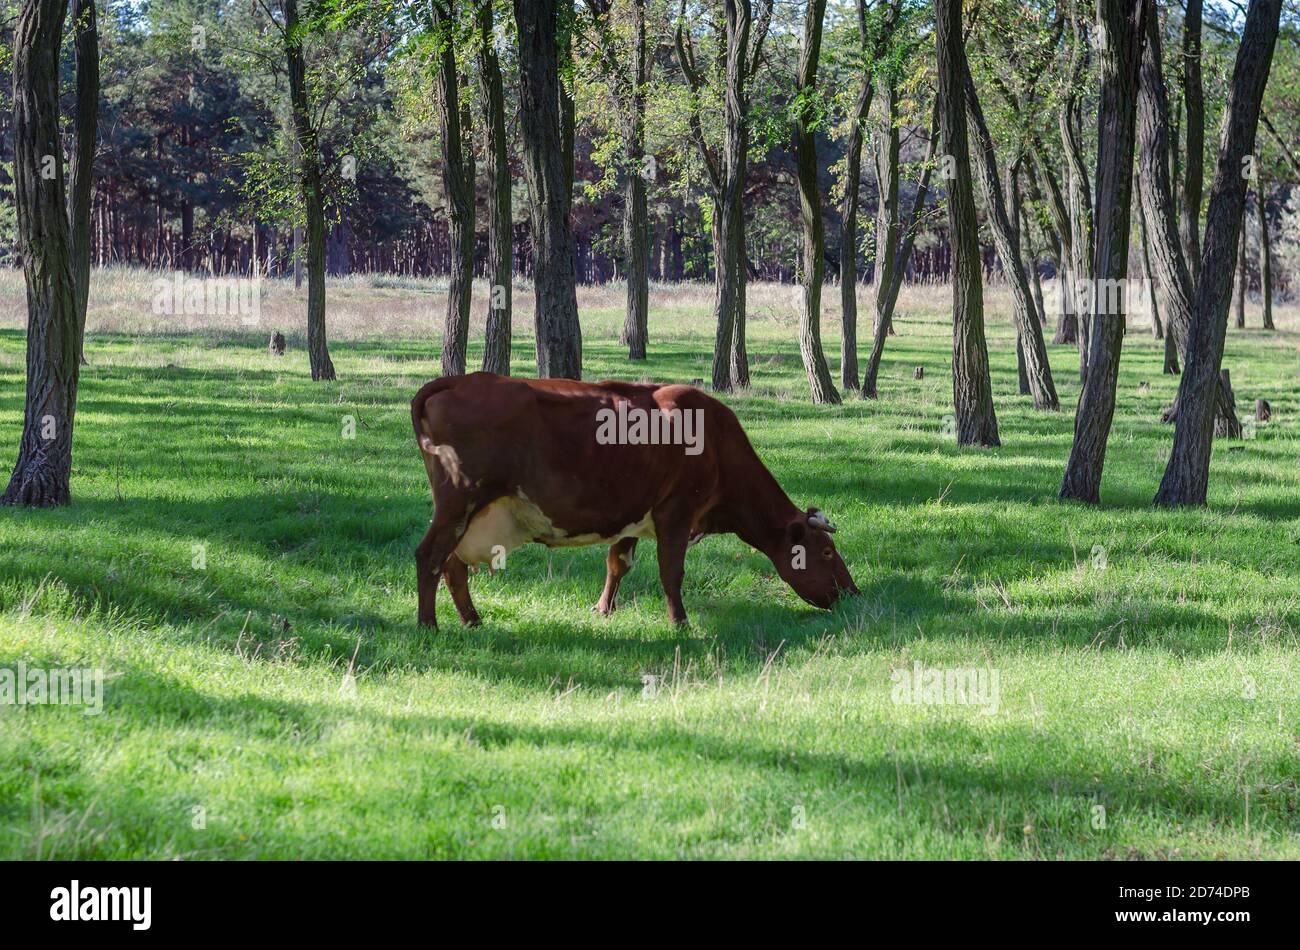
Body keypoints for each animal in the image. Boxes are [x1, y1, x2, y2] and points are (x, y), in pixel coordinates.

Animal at [410, 373, 857, 629]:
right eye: (826, 552)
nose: (852, 594)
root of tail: (462, 379)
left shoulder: (632, 514)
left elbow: (618, 564)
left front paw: (603, 609)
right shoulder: (676, 512)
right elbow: (671, 572)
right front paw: (680, 622)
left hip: (466, 514)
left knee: (452, 564)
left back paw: (471, 620)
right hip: (459, 501)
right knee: (430, 556)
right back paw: (429, 625)